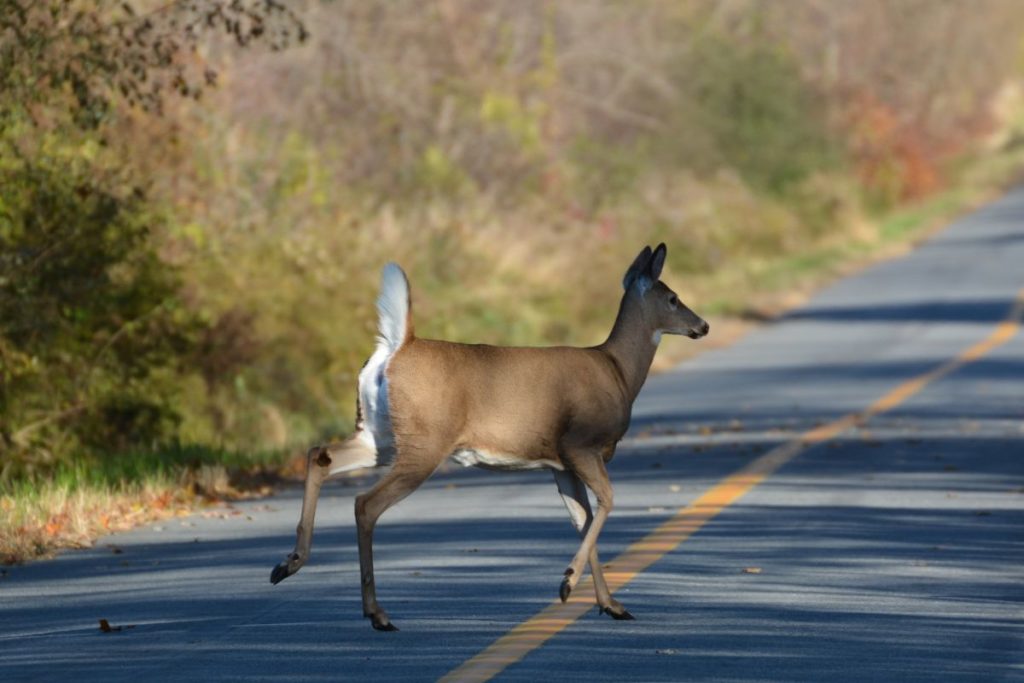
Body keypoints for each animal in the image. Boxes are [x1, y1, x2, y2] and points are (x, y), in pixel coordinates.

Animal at [268, 244, 708, 630]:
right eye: (672, 298)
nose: (702, 325)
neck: (617, 370)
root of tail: (397, 346)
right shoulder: (580, 443)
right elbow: (607, 503)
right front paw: (568, 584)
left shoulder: (560, 463)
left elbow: (582, 520)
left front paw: (610, 604)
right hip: (424, 442)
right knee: (365, 504)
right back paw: (377, 614)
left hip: (379, 436)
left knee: (320, 454)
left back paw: (288, 564)